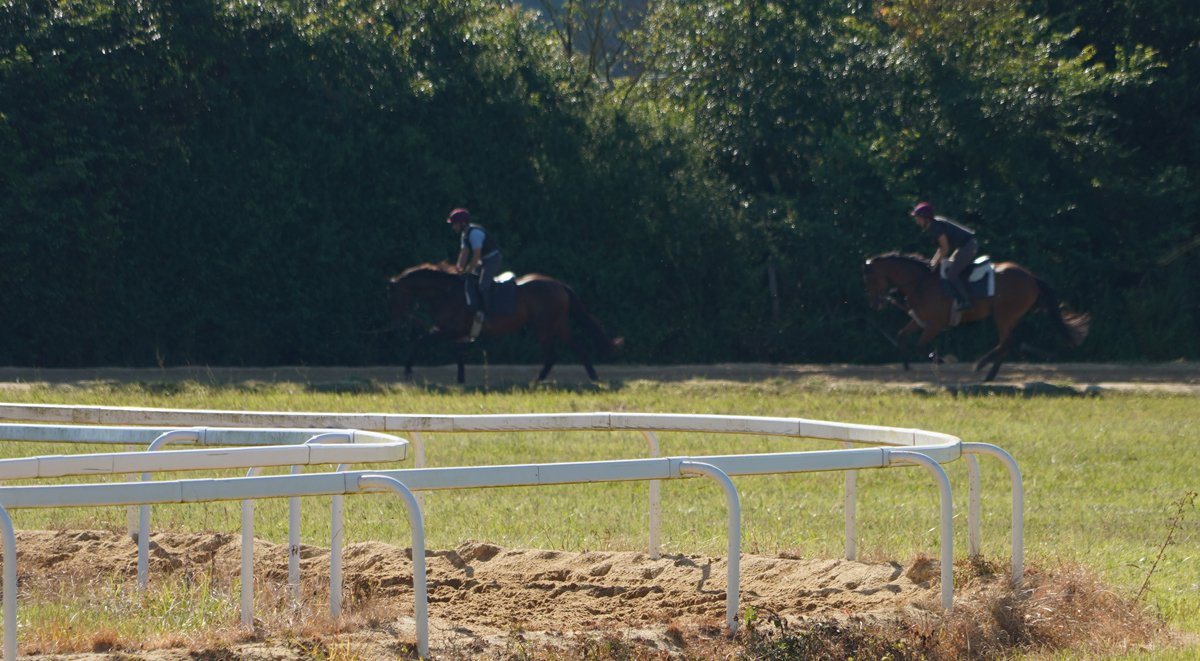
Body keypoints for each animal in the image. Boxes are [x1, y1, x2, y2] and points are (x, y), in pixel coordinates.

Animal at [388, 263, 623, 384]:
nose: (397, 320)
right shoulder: (457, 333)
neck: (446, 292)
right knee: (574, 348)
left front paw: (407, 370)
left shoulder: (448, 330)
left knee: (553, 355)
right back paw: (590, 378)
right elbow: (458, 354)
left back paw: (539, 382)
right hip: (556, 325)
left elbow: (421, 339)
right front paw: (461, 381)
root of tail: (559, 285)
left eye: (395, 295)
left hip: (544, 327)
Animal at [862, 252, 1090, 381]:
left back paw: (982, 367)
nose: (874, 303)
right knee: (1008, 343)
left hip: (1004, 314)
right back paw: (988, 374)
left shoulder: (934, 325)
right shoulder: (920, 320)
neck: (920, 282)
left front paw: (943, 361)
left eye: (870, 278)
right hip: (1008, 316)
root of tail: (1031, 277)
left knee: (1005, 343)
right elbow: (901, 336)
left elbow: (919, 345)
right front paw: (907, 366)